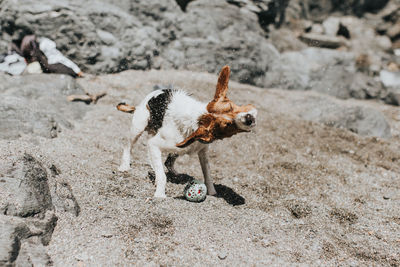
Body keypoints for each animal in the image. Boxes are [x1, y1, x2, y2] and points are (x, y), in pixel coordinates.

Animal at [115, 65, 256, 198]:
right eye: (227, 125)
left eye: (232, 107)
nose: (249, 118)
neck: (197, 118)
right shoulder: (154, 144)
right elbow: (162, 175)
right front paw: (160, 194)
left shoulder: (202, 151)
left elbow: (208, 174)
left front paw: (212, 192)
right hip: (138, 127)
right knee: (128, 147)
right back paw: (125, 166)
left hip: (175, 148)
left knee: (167, 162)